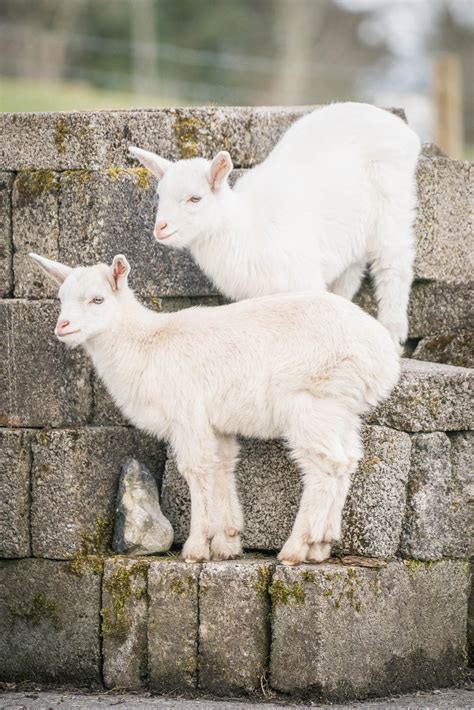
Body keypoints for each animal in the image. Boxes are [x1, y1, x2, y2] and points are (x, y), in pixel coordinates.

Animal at [30, 251, 400, 565]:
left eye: (98, 299)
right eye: (61, 299)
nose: (63, 327)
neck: (146, 344)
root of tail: (384, 357)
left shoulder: (186, 411)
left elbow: (196, 469)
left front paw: (196, 547)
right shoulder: (216, 422)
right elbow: (222, 467)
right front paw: (227, 542)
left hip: (311, 402)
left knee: (324, 467)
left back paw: (297, 548)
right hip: (341, 407)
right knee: (346, 462)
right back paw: (321, 545)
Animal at [130, 102, 421, 348]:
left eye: (195, 198)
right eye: (160, 195)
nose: (161, 228)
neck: (244, 225)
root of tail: (404, 130)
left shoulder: (302, 279)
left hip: (392, 209)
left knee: (394, 265)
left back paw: (393, 332)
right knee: (351, 271)